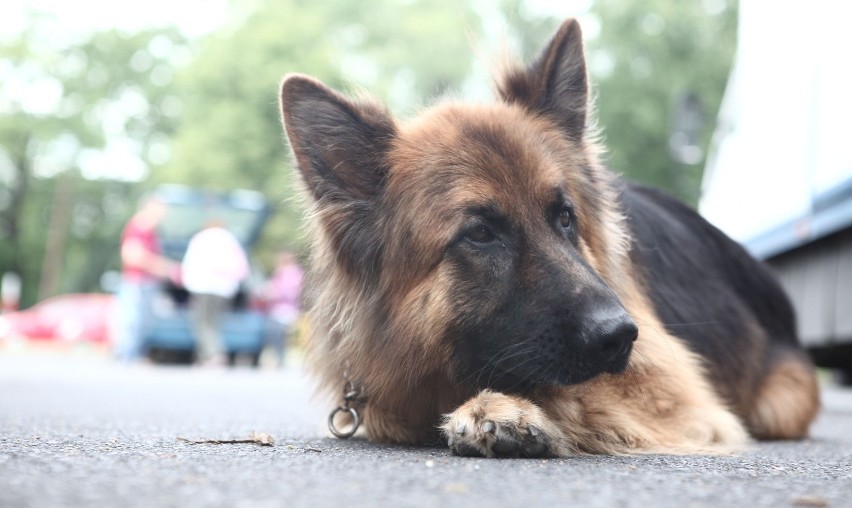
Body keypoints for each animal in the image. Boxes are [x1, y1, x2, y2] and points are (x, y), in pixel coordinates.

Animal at [278, 18, 820, 456]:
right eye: (480, 234)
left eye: (565, 217)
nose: (620, 334)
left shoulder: (673, 390)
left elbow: (578, 392)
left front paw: (505, 410)